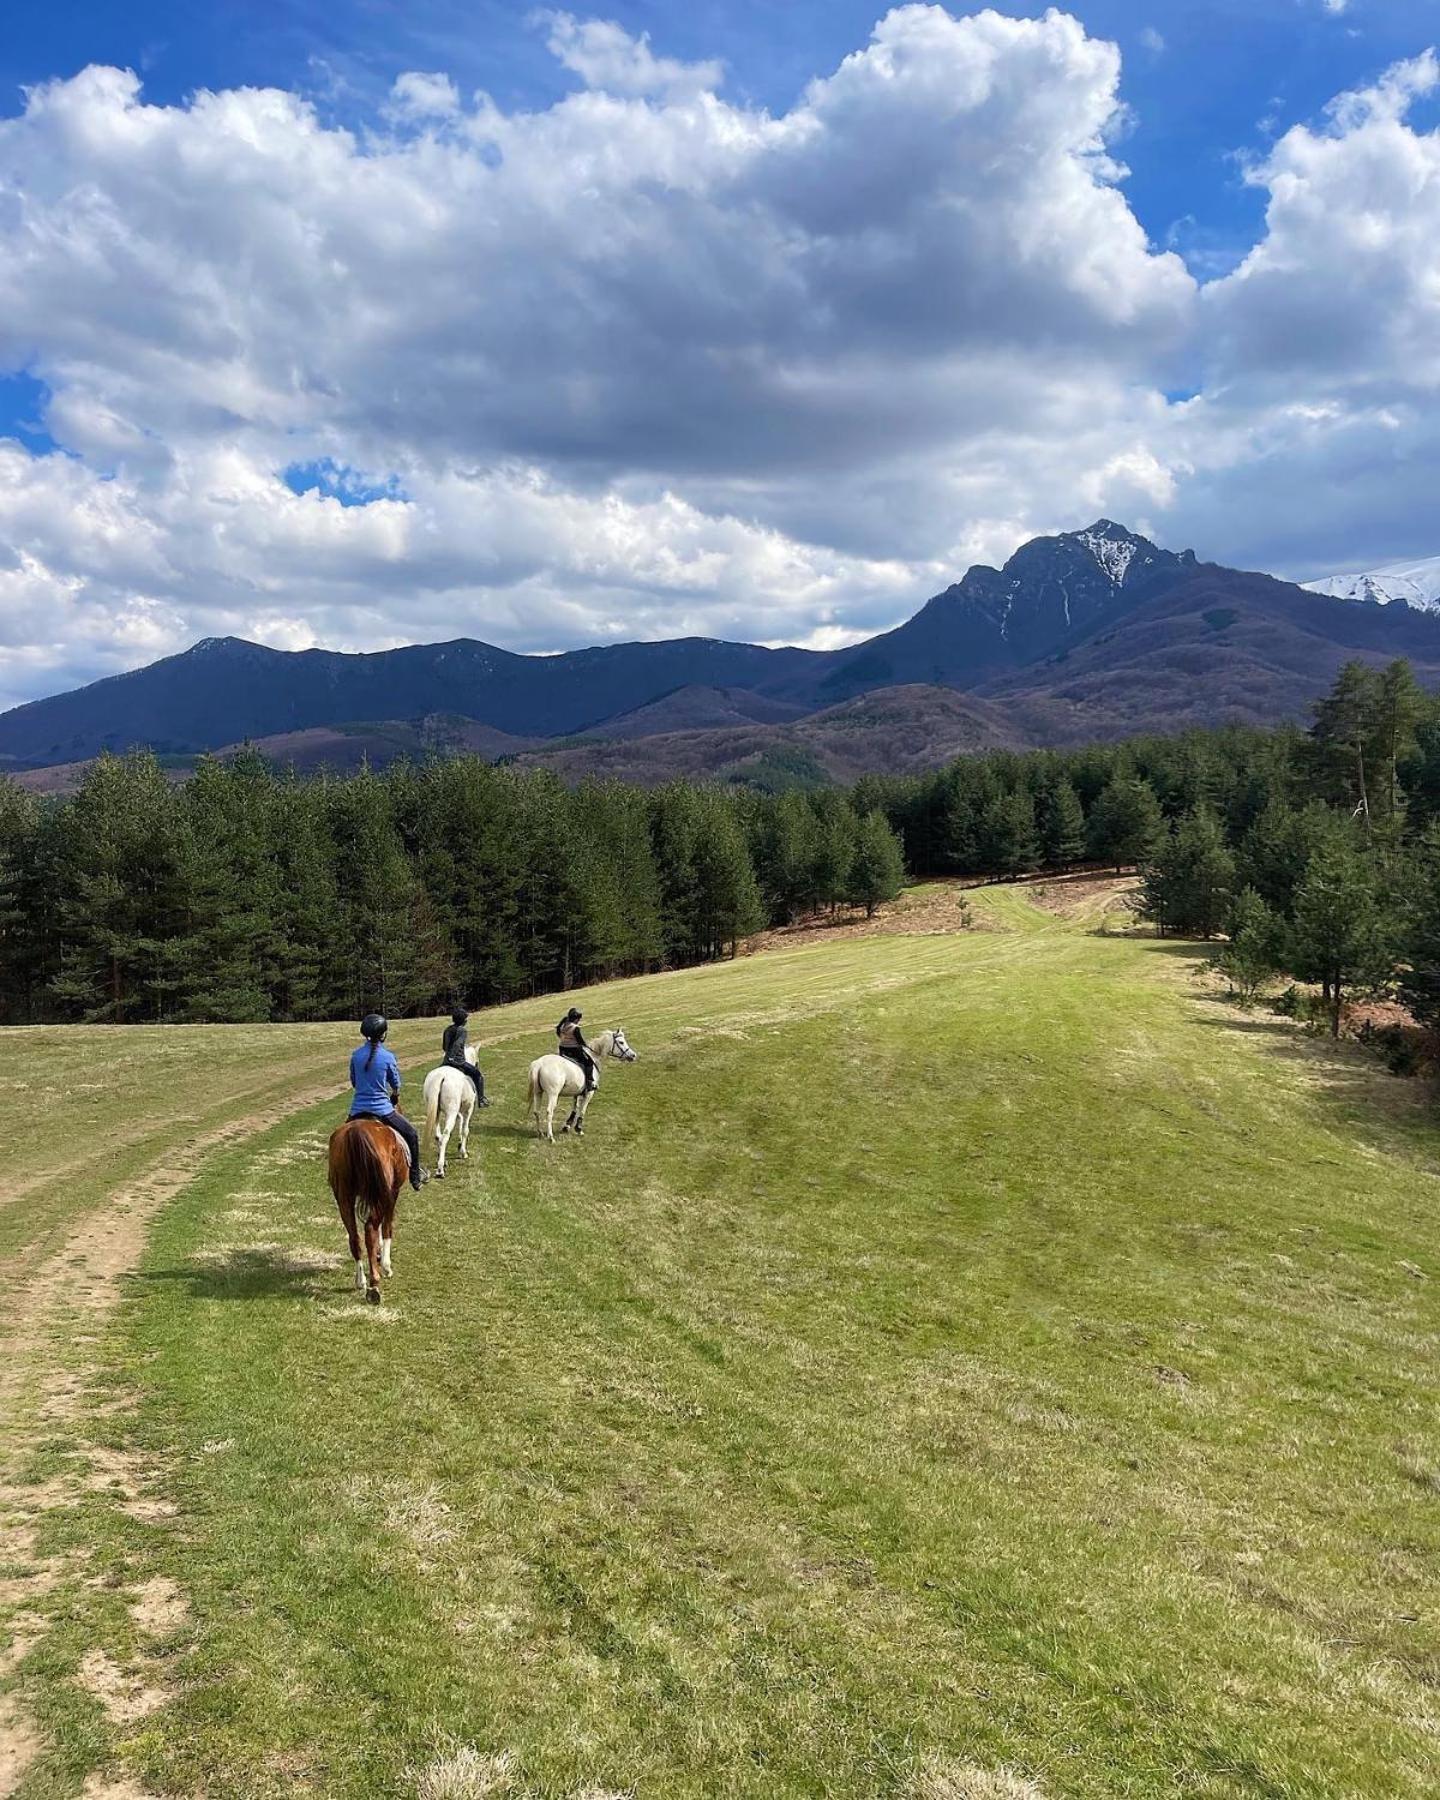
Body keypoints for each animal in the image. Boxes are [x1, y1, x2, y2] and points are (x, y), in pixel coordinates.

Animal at [329, 1116, 408, 1303]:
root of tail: (356, 1132)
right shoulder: (392, 1193)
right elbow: (387, 1228)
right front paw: (386, 1266)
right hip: (381, 1195)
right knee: (370, 1229)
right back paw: (374, 1284)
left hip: (344, 1197)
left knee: (355, 1238)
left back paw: (361, 1281)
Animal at [421, 1044, 478, 1180]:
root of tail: (440, 1076)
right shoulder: (468, 1109)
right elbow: (465, 1130)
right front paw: (463, 1152)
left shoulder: (456, 1112)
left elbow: (460, 1123)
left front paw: (459, 1144)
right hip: (451, 1112)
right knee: (445, 1135)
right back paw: (440, 1169)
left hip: (435, 1112)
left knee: (438, 1136)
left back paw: (443, 1161)